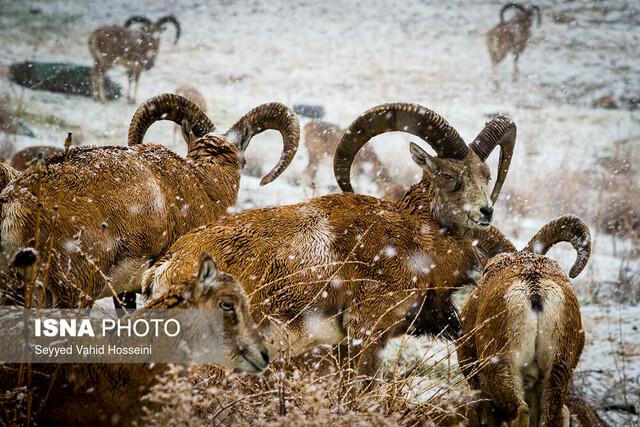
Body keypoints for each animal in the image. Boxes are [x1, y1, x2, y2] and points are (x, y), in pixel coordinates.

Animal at [144, 103, 516, 382]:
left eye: (486, 175)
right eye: (449, 176)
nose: (486, 211)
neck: (416, 241)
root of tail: (164, 269)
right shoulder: (367, 332)